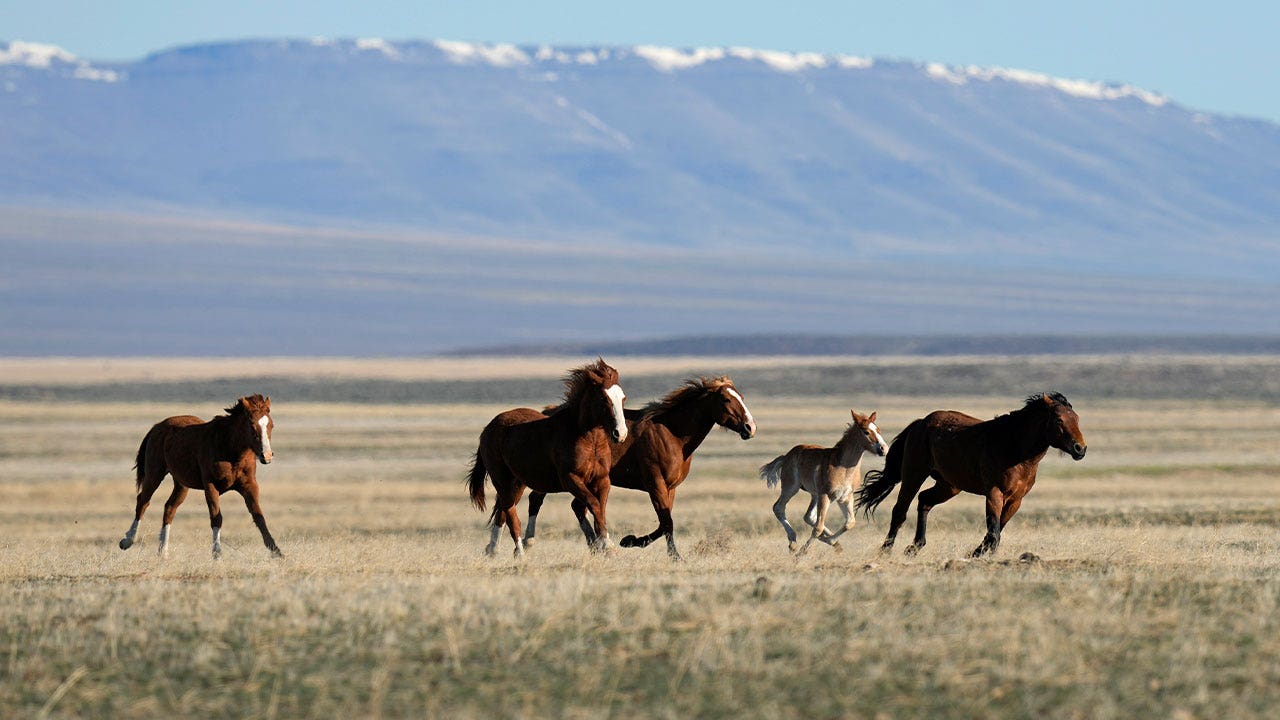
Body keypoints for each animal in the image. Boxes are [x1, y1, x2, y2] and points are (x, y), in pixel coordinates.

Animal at [119, 394, 281, 558]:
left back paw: (163, 551)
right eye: (252, 425)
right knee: (143, 502)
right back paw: (128, 541)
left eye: (271, 425)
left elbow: (259, 516)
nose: (267, 455)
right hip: (154, 474)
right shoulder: (210, 486)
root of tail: (157, 427)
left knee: (169, 508)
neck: (229, 450)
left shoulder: (249, 486)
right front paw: (217, 553)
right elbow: (216, 517)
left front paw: (276, 550)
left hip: (181, 485)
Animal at [471, 356, 629, 556]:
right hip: (502, 481)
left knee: (502, 512)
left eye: (623, 398)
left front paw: (603, 544)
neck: (587, 440)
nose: (620, 434)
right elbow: (593, 504)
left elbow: (599, 507)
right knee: (511, 514)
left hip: (517, 483)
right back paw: (520, 553)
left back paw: (493, 550)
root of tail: (488, 429)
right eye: (603, 398)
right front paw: (606, 545)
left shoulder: (602, 480)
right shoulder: (570, 479)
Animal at [522, 376, 752, 561]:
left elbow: (664, 522)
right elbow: (666, 522)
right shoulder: (655, 483)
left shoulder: (670, 487)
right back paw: (528, 542)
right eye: (727, 400)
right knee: (537, 500)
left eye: (741, 396)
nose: (750, 427)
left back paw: (594, 546)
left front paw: (630, 540)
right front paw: (673, 555)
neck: (672, 435)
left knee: (576, 506)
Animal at [757, 407, 890, 550]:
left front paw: (831, 541)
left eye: (878, 430)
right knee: (779, 508)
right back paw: (793, 542)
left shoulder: (845, 497)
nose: (883, 449)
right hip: (792, 488)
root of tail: (786, 456)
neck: (843, 467)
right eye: (866, 432)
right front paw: (802, 552)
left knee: (808, 516)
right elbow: (818, 528)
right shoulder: (825, 495)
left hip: (815, 494)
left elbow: (850, 522)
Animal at [855, 392, 1085, 556]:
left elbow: (997, 531)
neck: (1014, 447)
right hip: (914, 475)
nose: (1080, 449)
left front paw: (978, 553)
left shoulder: (1015, 500)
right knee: (900, 511)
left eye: (1076, 418)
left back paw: (914, 547)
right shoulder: (994, 493)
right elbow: (993, 532)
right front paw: (977, 554)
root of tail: (920, 423)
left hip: (949, 486)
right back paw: (886, 550)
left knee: (925, 500)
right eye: (1058, 420)